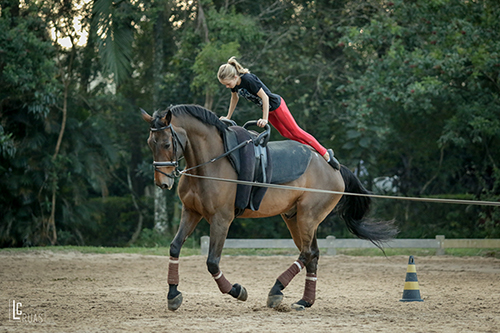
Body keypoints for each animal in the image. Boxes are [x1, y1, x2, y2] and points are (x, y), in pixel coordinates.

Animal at [142, 104, 398, 312]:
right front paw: (173, 295)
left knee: (307, 253)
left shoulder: (221, 219)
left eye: (167, 143)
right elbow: (175, 248)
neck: (210, 163)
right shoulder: (191, 212)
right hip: (294, 218)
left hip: (308, 217)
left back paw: (276, 290)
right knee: (312, 254)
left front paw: (237, 291)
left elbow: (212, 261)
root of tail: (334, 168)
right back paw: (304, 301)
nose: (162, 183)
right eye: (149, 144)